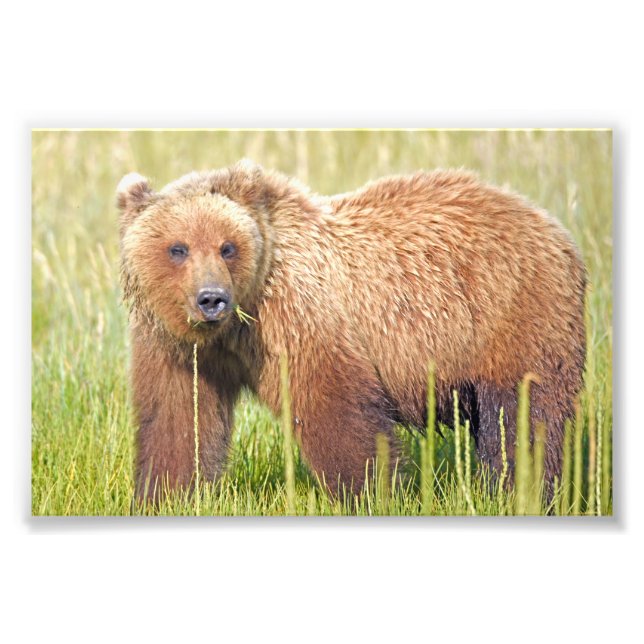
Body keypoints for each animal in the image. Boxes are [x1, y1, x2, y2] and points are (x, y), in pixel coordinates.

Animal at [117, 159, 586, 504]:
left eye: (227, 247)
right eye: (178, 248)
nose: (211, 298)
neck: (236, 324)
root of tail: (552, 225)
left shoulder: (298, 317)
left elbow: (335, 409)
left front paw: (375, 491)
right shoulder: (178, 349)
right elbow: (176, 417)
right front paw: (163, 494)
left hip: (514, 314)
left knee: (524, 417)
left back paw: (524, 490)